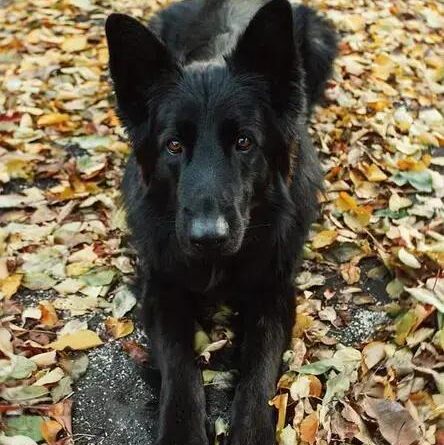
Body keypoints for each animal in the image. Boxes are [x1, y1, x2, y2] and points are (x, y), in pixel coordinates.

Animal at [106, 1, 336, 442]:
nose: (207, 238)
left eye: (244, 141)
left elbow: (258, 373)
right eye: (174, 145)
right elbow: (180, 369)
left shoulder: (273, 291)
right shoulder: (162, 287)